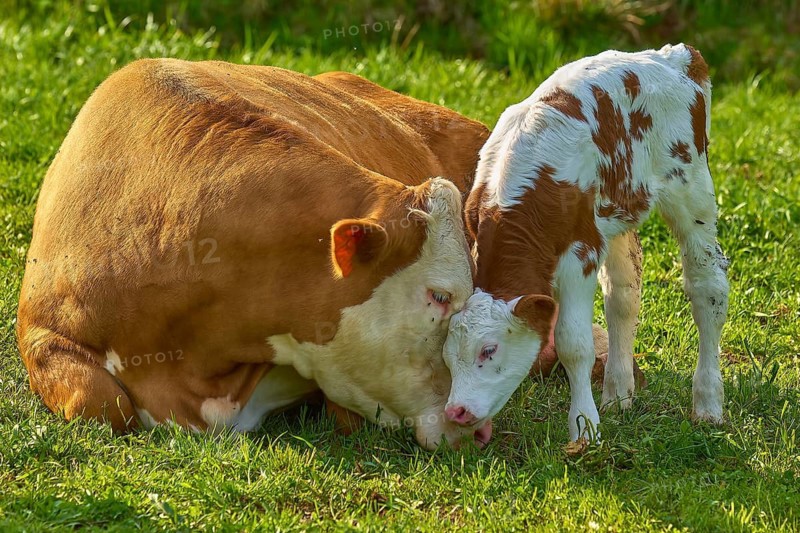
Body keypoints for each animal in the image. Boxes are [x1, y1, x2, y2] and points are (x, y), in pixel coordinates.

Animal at [441, 44, 729, 443]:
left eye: (489, 350)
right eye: (447, 357)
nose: (456, 411)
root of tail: (675, 56)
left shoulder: (580, 253)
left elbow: (573, 344)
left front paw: (584, 428)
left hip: (691, 185)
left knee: (707, 287)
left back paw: (708, 405)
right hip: (618, 209)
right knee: (623, 294)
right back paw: (617, 395)